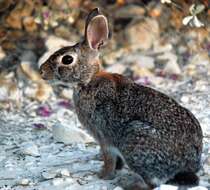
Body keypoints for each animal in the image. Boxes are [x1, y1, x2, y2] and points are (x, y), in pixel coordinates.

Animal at [39, 7, 202, 190]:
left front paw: (103, 176)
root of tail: (188, 163)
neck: (88, 81)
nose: (41, 71)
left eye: (67, 59)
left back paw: (130, 184)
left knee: (152, 183)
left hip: (133, 141)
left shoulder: (103, 137)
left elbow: (108, 158)